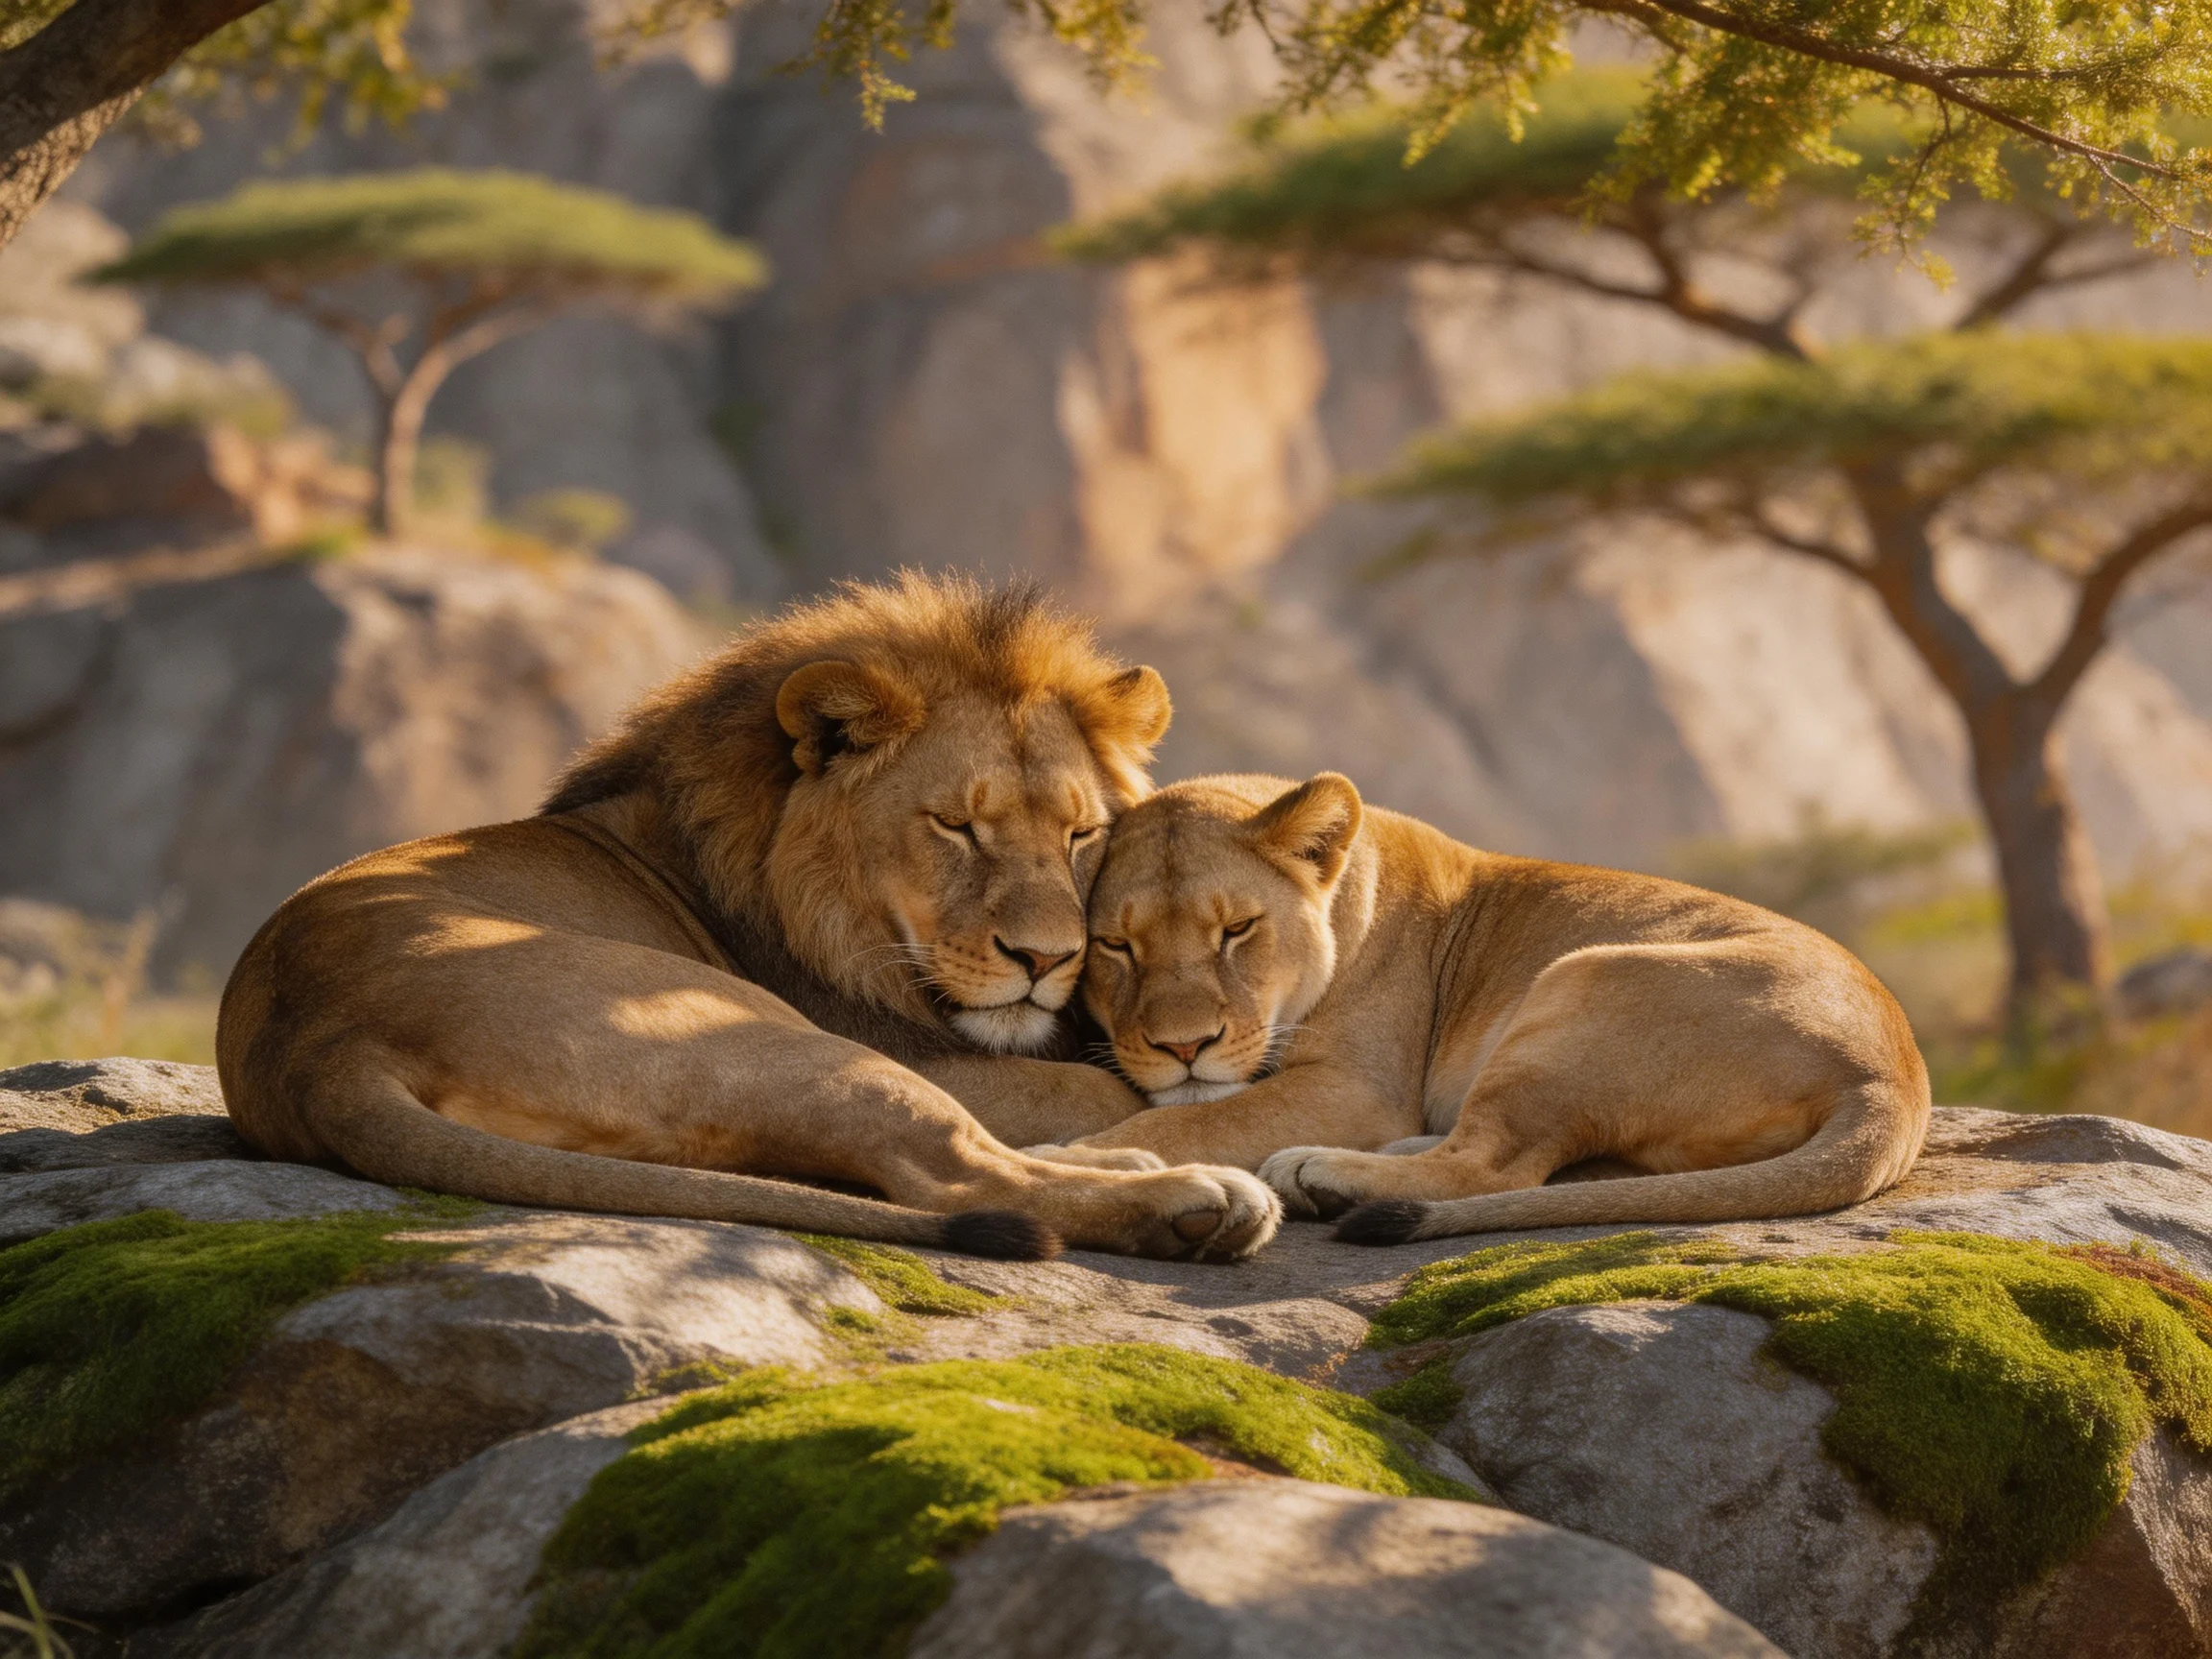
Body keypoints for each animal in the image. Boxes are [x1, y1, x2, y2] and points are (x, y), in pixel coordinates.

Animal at [216, 577, 1280, 1261]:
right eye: (956, 826)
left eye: (1079, 834)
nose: (1045, 958)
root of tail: (321, 1047)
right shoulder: (919, 1046)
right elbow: (1095, 1087)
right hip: (772, 1040)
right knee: (959, 1176)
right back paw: (1191, 1198)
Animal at [1053, 771, 1929, 1242]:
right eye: (1116, 946)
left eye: (1237, 930)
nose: (1183, 1048)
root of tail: (1893, 1074)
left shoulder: (1359, 1085)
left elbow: (1193, 1120)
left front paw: (1096, 1159)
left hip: (1584, 981)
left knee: (1493, 1167)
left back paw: (1321, 1173)